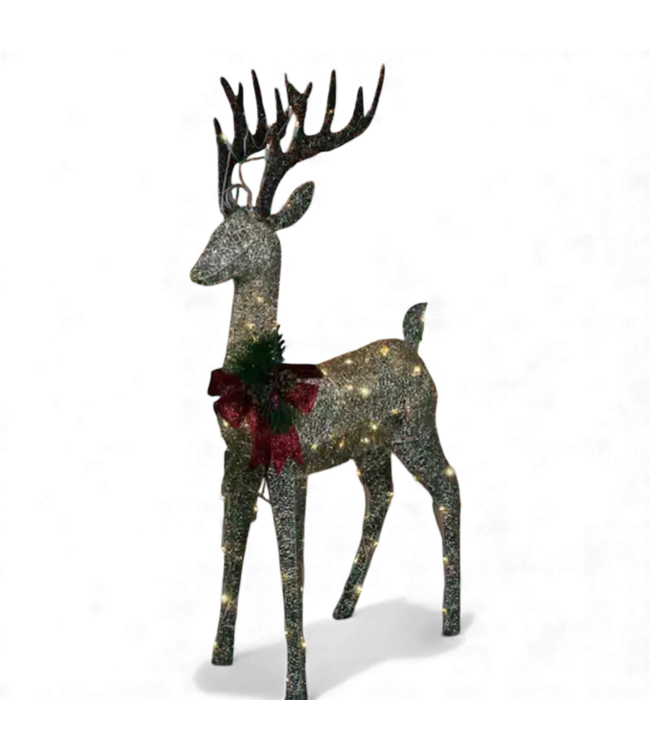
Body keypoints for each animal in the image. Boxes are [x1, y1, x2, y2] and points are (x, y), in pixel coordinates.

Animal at [190, 64, 462, 700]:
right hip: (368, 447)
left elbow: (290, 571)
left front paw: (295, 684)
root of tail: (411, 342)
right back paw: (343, 606)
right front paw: (219, 658)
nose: (196, 270)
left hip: (417, 430)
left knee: (448, 486)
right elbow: (229, 559)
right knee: (381, 495)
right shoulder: (234, 469)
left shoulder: (291, 470)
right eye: (216, 230)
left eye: (248, 239)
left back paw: (450, 622)